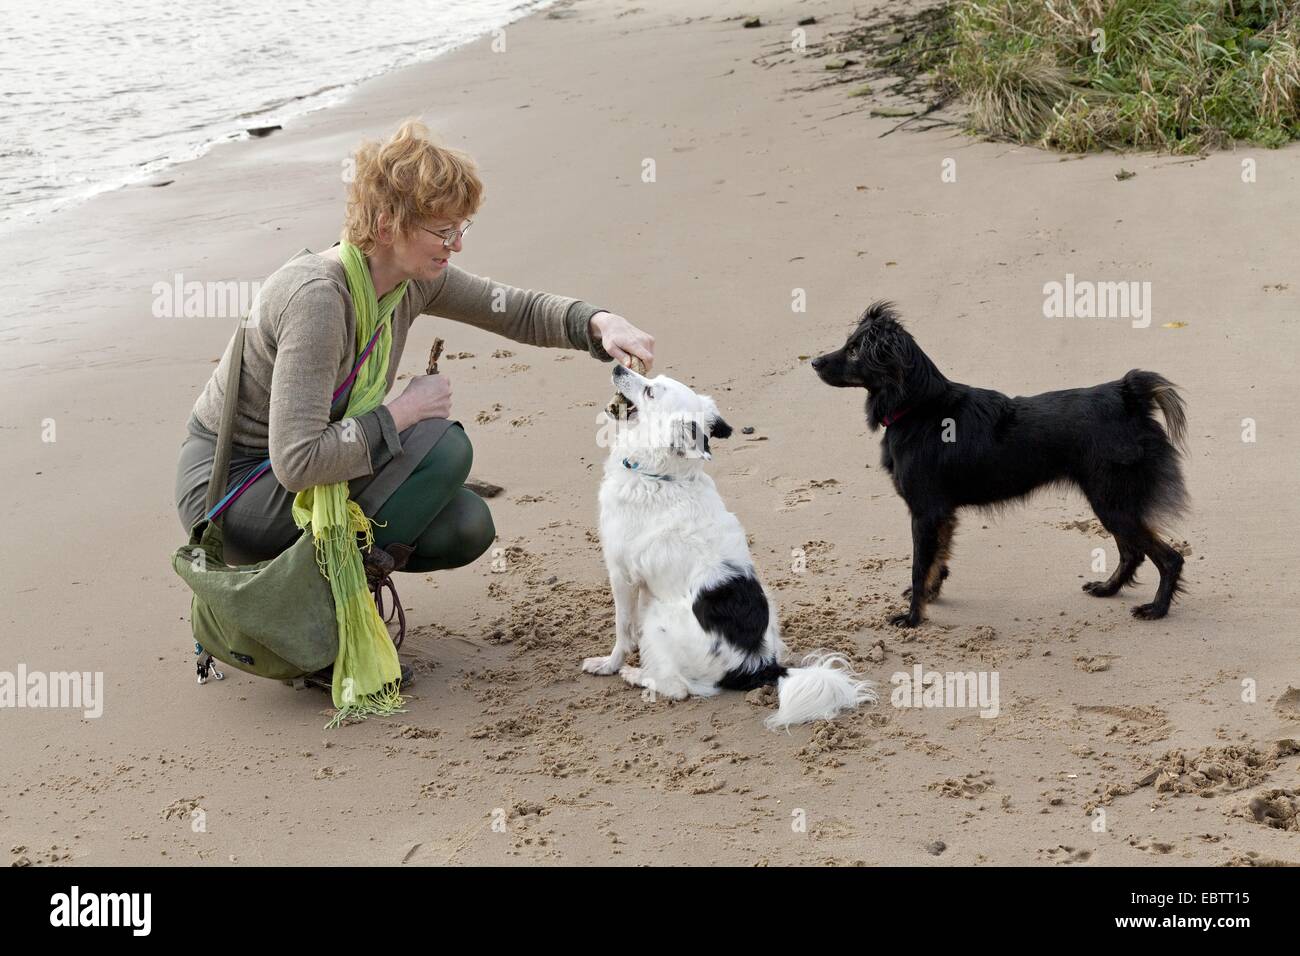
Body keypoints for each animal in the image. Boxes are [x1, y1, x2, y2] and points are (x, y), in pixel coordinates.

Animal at [587, 361, 873, 728]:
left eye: (650, 390)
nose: (618, 365)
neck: (662, 477)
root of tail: (760, 665)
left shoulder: (621, 574)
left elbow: (622, 629)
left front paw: (610, 664)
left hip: (660, 617)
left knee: (681, 688)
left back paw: (637, 675)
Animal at [811, 300, 1190, 629]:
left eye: (855, 351)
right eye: (848, 343)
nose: (814, 362)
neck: (918, 406)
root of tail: (1128, 394)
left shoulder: (926, 511)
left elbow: (920, 566)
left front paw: (913, 617)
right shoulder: (942, 513)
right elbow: (938, 559)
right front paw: (932, 596)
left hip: (1112, 501)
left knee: (1168, 557)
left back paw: (1157, 608)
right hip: (1111, 500)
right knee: (1133, 552)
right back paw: (1108, 589)